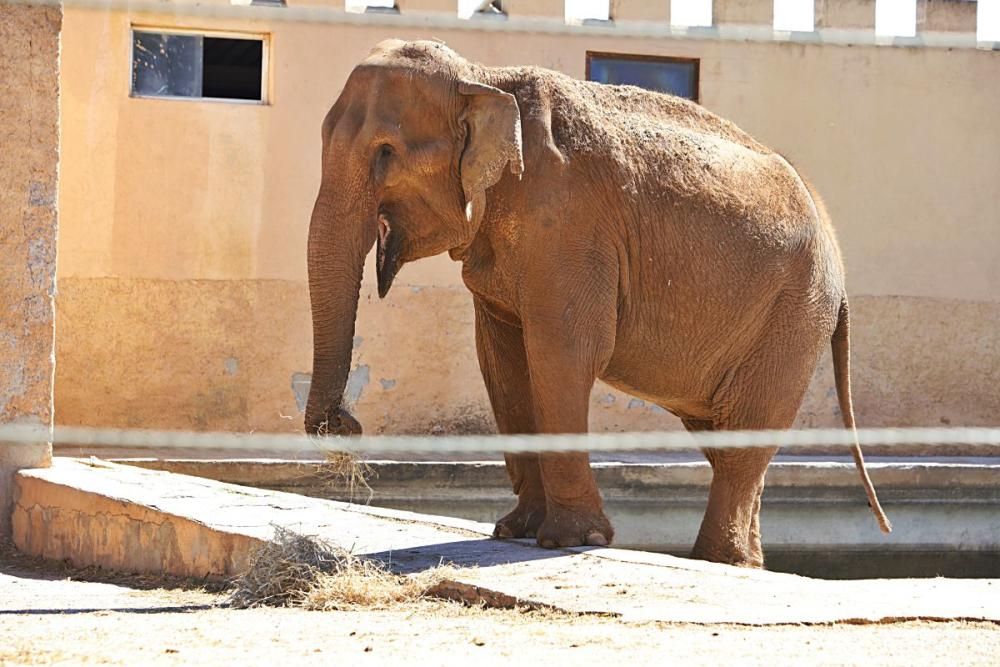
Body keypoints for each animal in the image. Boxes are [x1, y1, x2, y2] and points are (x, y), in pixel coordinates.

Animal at [304, 37, 892, 568]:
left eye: (386, 153)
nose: (345, 423)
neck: (483, 77)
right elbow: (503, 365)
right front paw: (514, 531)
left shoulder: (568, 222)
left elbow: (562, 354)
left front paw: (571, 540)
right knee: (722, 436)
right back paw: (744, 564)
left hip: (795, 310)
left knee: (746, 430)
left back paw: (715, 560)